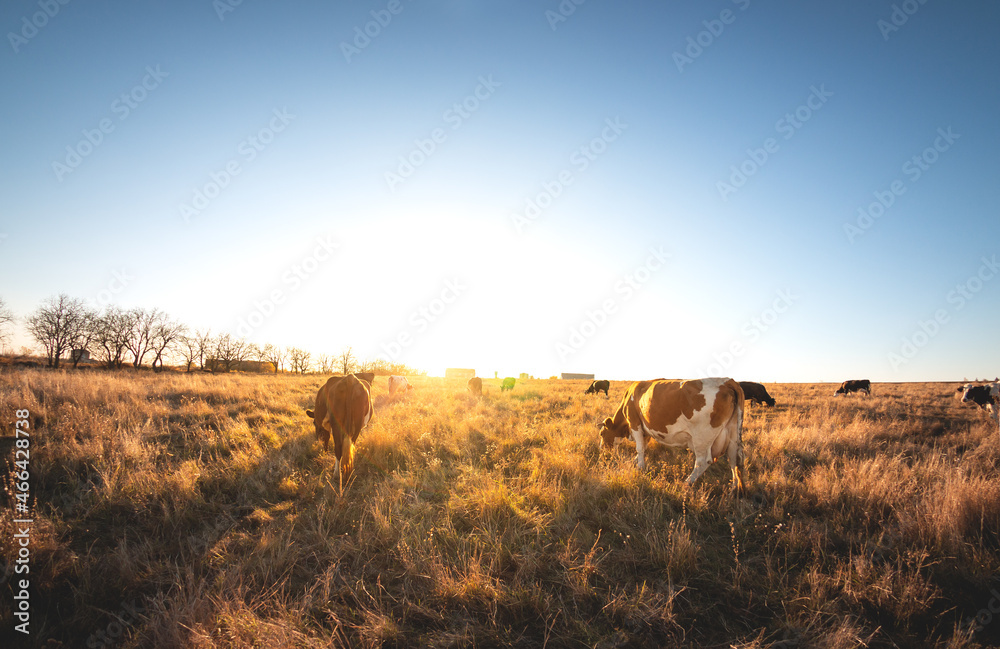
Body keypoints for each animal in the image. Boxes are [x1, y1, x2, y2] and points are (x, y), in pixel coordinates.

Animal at [596, 374, 748, 492]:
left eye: (602, 434)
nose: (602, 450)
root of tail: (727, 381)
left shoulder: (635, 423)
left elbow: (639, 448)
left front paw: (640, 467)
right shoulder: (645, 428)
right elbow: (644, 446)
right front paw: (635, 461)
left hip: (702, 437)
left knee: (703, 461)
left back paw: (686, 483)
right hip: (733, 434)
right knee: (734, 459)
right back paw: (734, 489)